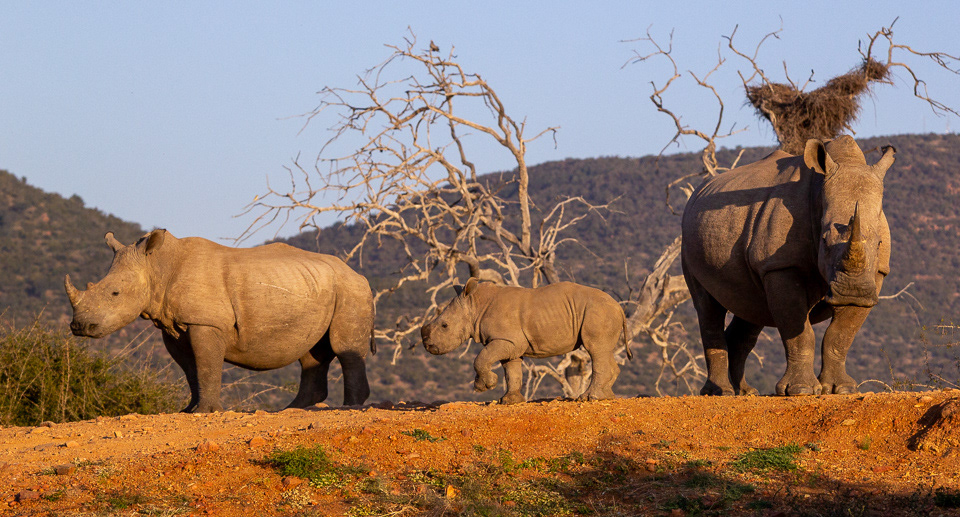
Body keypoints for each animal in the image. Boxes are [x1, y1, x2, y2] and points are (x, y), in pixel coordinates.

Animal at [65, 229, 375, 412]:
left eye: (115, 293)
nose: (78, 327)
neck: (158, 266)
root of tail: (358, 273)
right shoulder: (174, 327)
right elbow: (191, 370)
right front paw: (188, 410)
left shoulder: (206, 322)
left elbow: (206, 366)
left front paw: (205, 411)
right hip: (317, 287)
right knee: (311, 353)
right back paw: (292, 409)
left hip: (350, 290)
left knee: (344, 349)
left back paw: (349, 408)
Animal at [420, 278, 631, 404]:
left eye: (445, 326)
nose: (427, 345)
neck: (476, 305)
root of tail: (619, 308)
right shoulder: (510, 344)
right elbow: (511, 371)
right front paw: (509, 401)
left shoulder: (506, 340)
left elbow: (480, 359)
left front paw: (485, 386)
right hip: (603, 312)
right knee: (603, 351)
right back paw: (606, 397)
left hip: (598, 312)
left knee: (596, 350)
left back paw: (589, 398)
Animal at [681, 135, 895, 396]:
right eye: (824, 240)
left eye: (879, 243)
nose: (852, 291)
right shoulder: (780, 265)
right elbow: (798, 329)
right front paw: (801, 390)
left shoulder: (876, 274)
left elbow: (841, 334)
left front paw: (841, 389)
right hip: (687, 239)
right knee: (707, 306)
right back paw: (719, 393)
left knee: (750, 308)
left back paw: (746, 392)